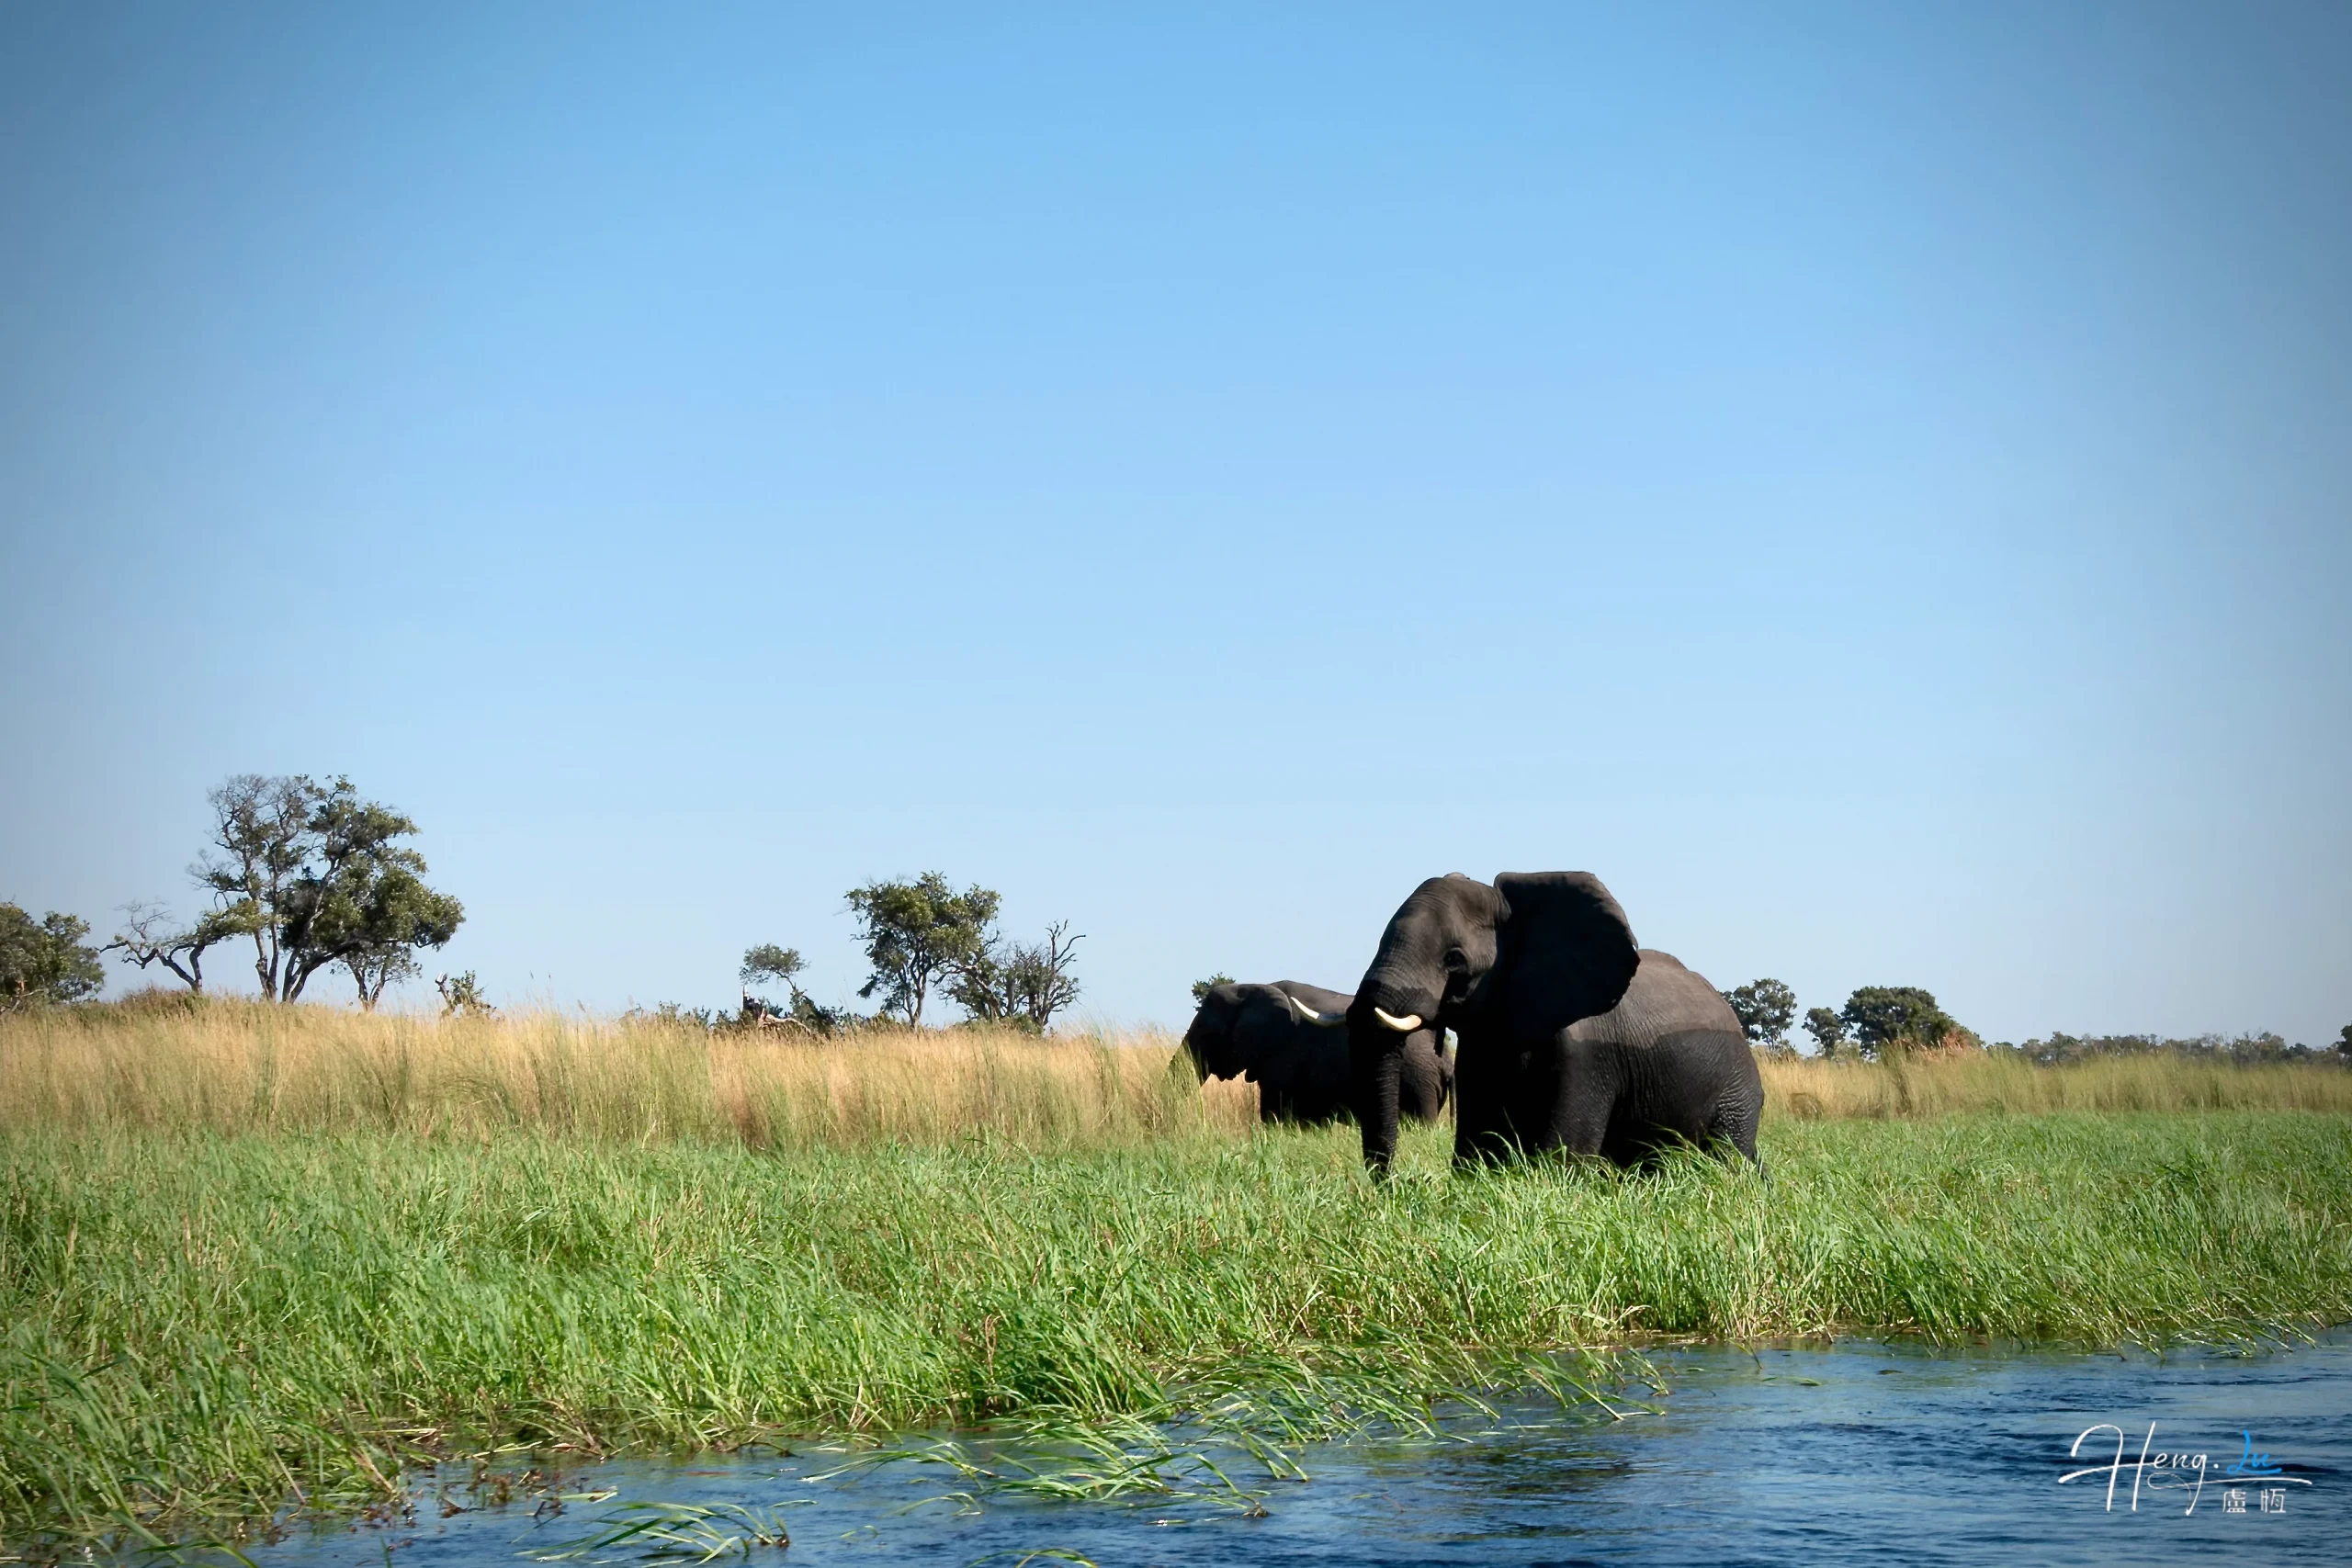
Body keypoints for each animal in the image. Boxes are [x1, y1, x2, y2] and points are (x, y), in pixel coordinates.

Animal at [1346, 872, 1763, 1174]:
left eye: (1454, 960)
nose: (1398, 1183)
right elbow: (1478, 1144)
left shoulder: (1587, 1054)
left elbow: (1563, 1155)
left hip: (1736, 1086)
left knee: (1729, 1154)